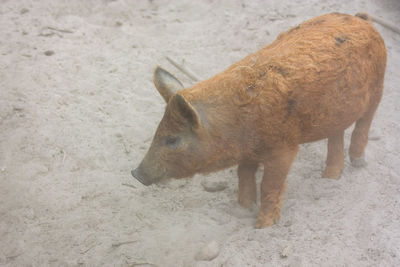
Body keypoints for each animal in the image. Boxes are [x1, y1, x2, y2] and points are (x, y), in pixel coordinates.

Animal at [132, 13, 388, 230]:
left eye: (172, 139)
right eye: (157, 131)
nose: (136, 173)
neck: (233, 126)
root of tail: (362, 20)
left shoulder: (285, 149)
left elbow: (269, 185)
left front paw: (262, 227)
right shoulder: (248, 152)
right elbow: (244, 175)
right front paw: (242, 210)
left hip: (377, 90)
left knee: (363, 125)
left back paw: (358, 163)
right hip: (337, 112)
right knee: (337, 134)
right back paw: (330, 177)